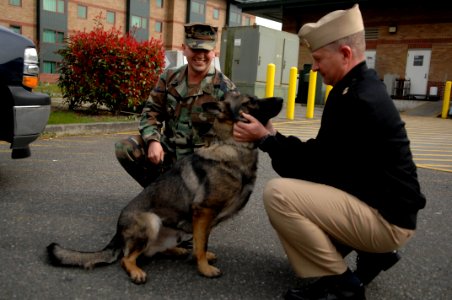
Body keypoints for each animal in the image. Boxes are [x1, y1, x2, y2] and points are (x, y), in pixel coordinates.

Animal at [46, 93, 282, 284]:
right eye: (250, 102)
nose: (281, 99)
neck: (233, 146)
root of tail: (117, 233)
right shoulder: (204, 211)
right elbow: (201, 244)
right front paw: (204, 268)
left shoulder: (205, 219)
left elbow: (201, 241)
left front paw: (200, 257)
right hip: (151, 221)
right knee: (127, 258)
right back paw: (137, 272)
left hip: (173, 231)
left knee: (154, 252)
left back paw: (178, 250)